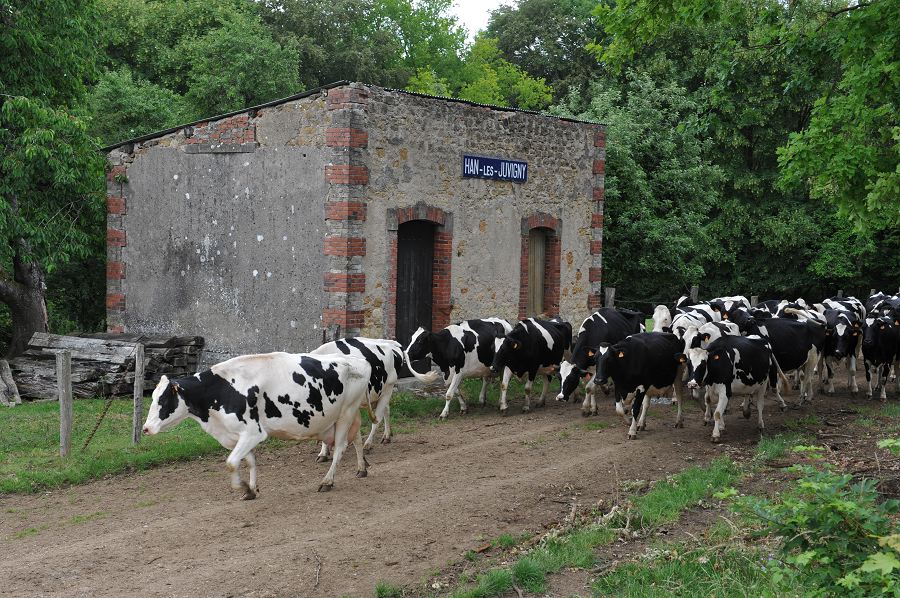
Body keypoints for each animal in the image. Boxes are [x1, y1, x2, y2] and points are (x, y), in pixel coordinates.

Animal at [142, 354, 374, 500]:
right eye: (152, 398)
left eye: (163, 401)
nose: (145, 428)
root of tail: (358, 360)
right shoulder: (238, 435)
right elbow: (250, 461)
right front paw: (251, 490)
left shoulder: (253, 433)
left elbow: (231, 463)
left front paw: (244, 486)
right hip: (344, 416)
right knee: (356, 439)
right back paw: (362, 468)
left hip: (346, 413)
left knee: (341, 447)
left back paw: (327, 481)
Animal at [312, 338, 442, 460]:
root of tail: (392, 343)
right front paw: (324, 452)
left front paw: (325, 451)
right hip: (381, 392)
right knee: (387, 410)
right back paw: (387, 436)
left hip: (388, 388)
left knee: (377, 419)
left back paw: (368, 444)